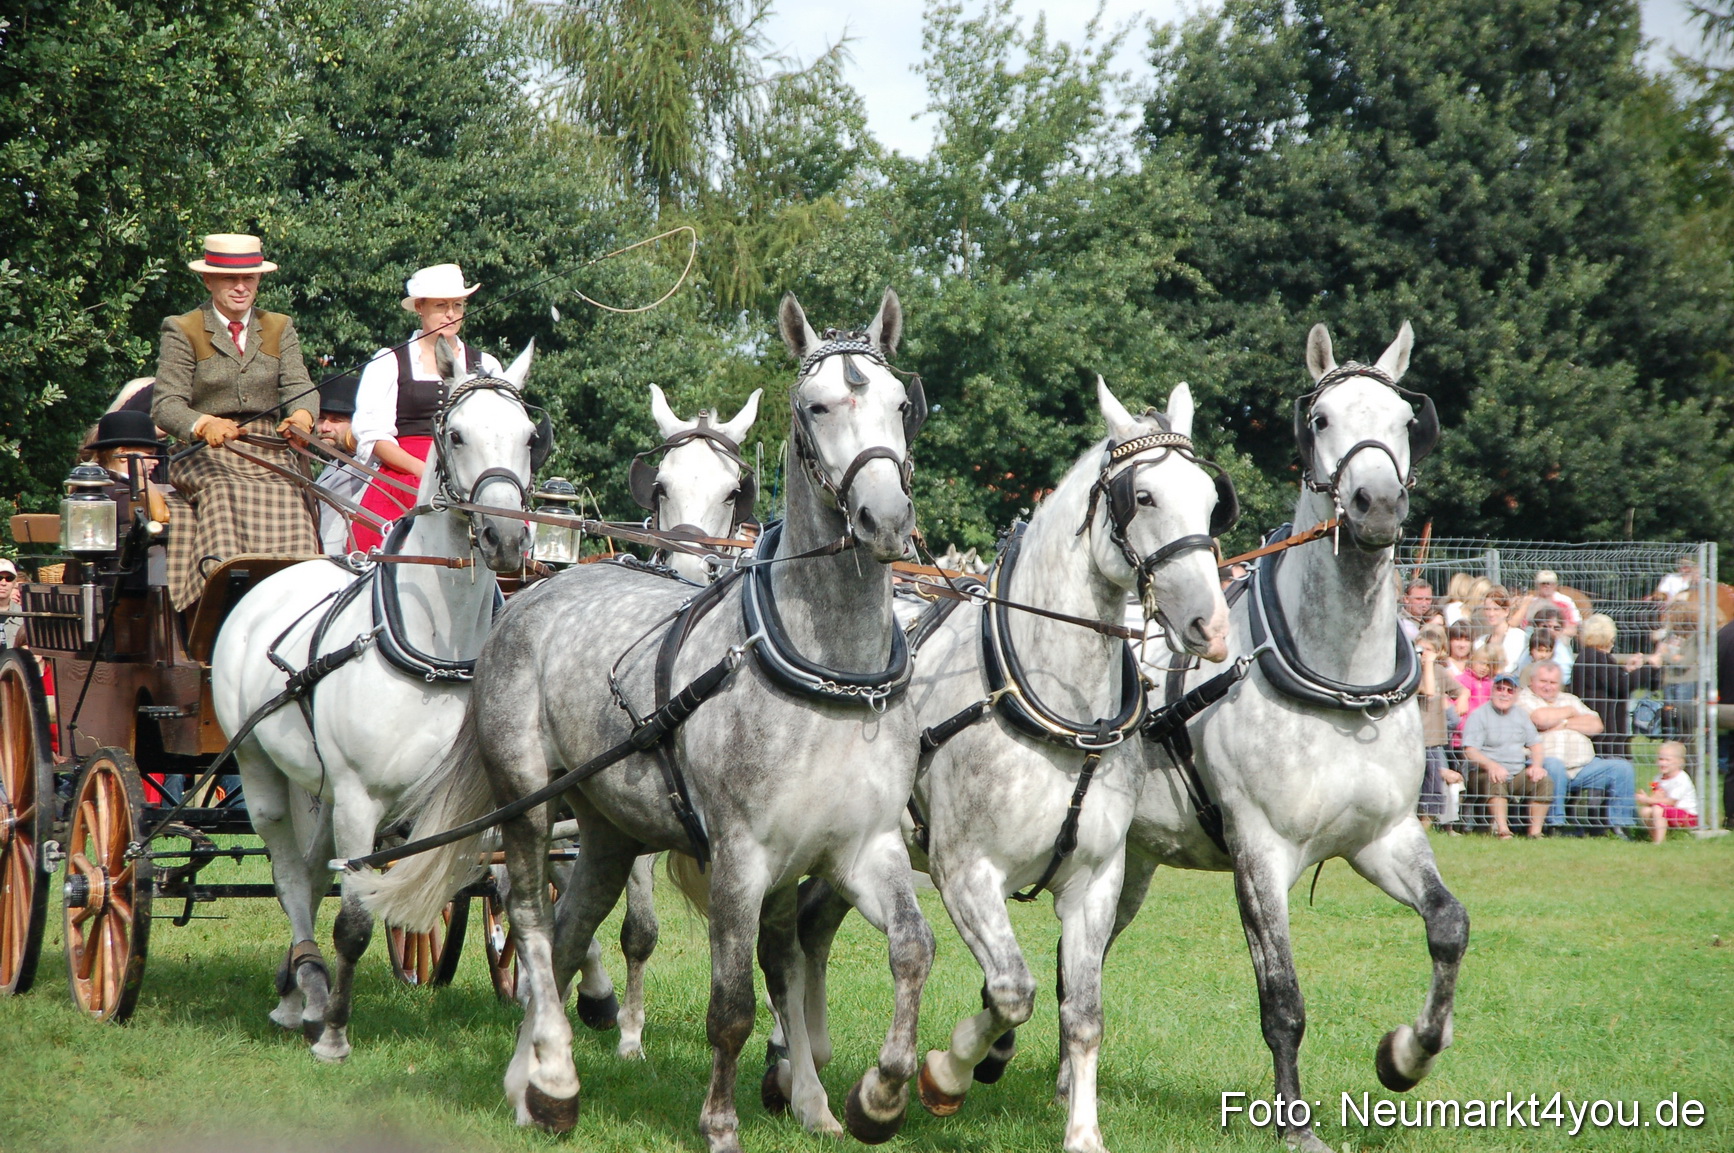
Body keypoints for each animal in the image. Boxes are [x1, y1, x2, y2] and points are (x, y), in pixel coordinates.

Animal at [209, 339, 542, 1061]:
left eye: (531, 436)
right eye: (456, 433)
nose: (505, 540)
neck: (438, 649)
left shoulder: (485, 800)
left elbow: (515, 892)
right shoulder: (362, 797)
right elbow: (357, 919)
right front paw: (335, 1032)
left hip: (318, 789)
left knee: (308, 870)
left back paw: (296, 985)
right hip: (260, 769)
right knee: (290, 872)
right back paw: (307, 990)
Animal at [356, 289, 935, 1149]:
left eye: (902, 404)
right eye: (816, 406)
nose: (885, 517)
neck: (828, 663)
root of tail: (533, 593)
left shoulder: (862, 846)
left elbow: (909, 948)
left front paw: (874, 1096)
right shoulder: (740, 857)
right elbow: (731, 1005)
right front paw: (721, 1120)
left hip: (607, 827)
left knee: (568, 935)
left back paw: (528, 1079)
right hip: (529, 798)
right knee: (531, 919)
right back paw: (556, 1079)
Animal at [1099, 322, 1466, 1153]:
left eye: (1407, 420)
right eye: (1320, 418)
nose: (1376, 503)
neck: (1339, 680)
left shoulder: (1384, 835)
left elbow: (1448, 926)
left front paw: (1407, 1054)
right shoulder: (1258, 851)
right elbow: (1283, 996)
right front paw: (1294, 1122)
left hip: (1129, 862)